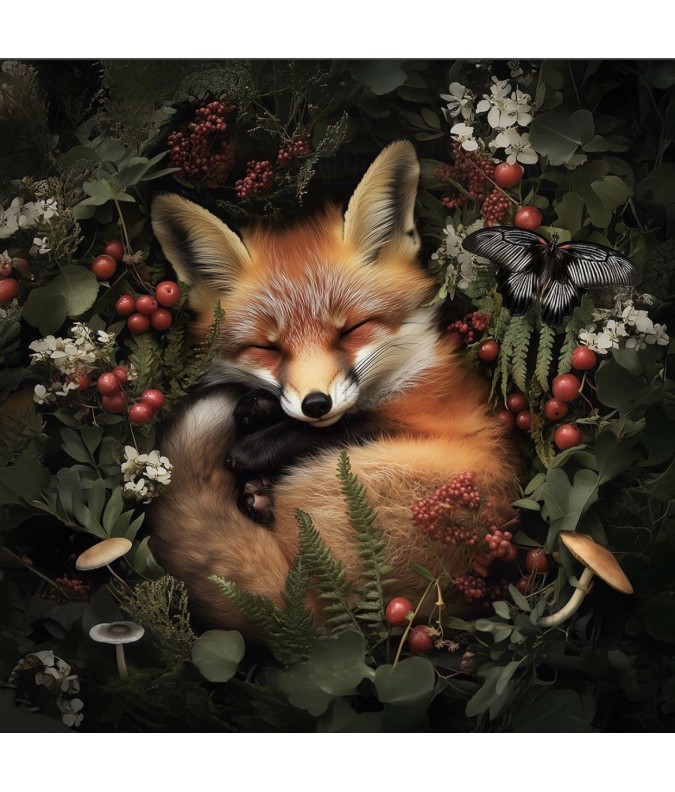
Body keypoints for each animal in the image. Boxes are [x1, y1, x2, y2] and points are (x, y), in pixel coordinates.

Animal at [148, 140, 518, 634]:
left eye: (352, 330)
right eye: (267, 348)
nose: (316, 403)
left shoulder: (432, 416)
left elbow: (350, 422)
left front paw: (259, 443)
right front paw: (259, 410)